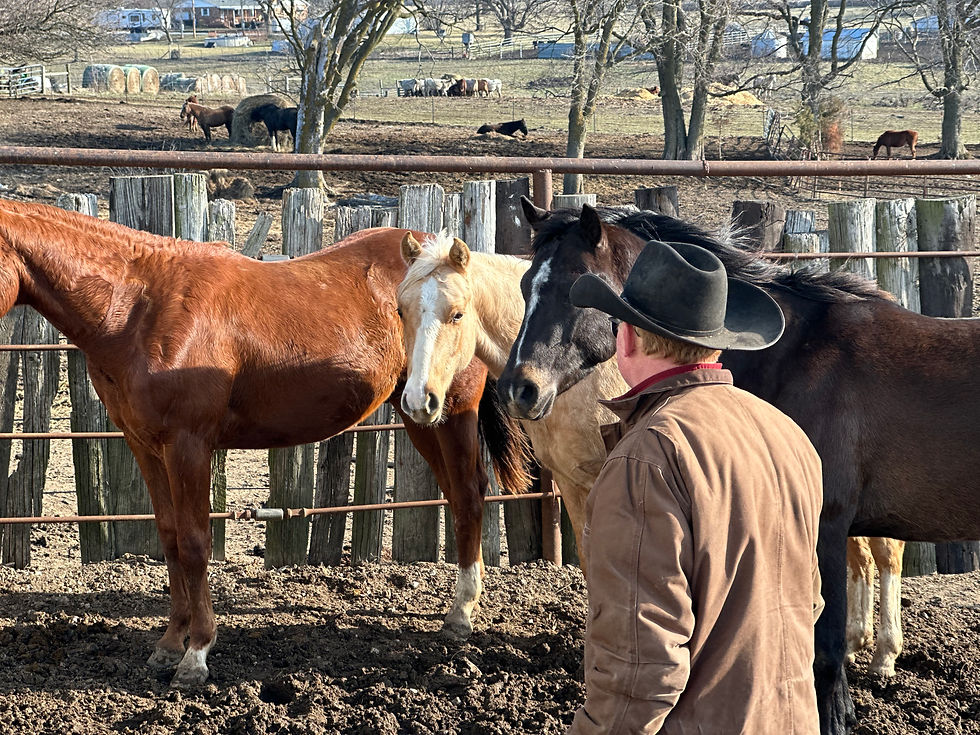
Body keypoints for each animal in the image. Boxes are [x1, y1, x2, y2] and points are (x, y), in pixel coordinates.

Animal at [0, 199, 533, 689]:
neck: (139, 306)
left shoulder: (188, 445)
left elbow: (194, 544)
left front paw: (196, 653)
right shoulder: (145, 446)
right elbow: (170, 540)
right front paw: (169, 644)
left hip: (451, 410)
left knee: (469, 495)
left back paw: (461, 614)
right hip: (419, 410)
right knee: (457, 495)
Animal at [496, 199, 980, 735]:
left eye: (575, 288)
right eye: (525, 285)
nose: (518, 389)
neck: (797, 355)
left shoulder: (826, 528)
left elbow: (826, 653)